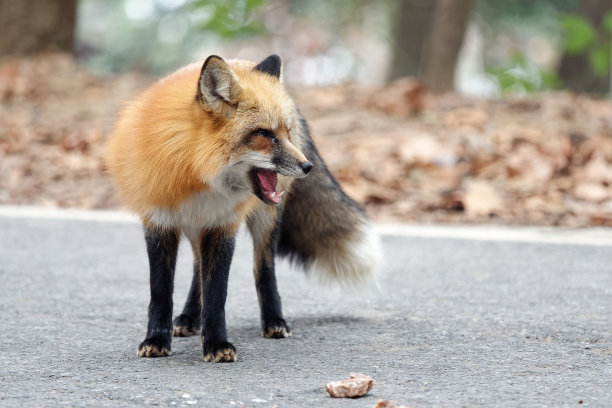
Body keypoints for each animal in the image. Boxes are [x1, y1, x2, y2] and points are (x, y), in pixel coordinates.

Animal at [107, 55, 380, 364]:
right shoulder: (160, 223)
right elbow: (161, 293)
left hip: (265, 220)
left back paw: (274, 321)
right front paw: (156, 339)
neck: (195, 173)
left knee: (264, 269)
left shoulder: (222, 226)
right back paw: (189, 318)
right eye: (264, 134)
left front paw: (216, 344)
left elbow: (217, 295)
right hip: (195, 227)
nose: (308, 166)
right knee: (198, 269)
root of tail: (244, 60)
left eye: (285, 133)